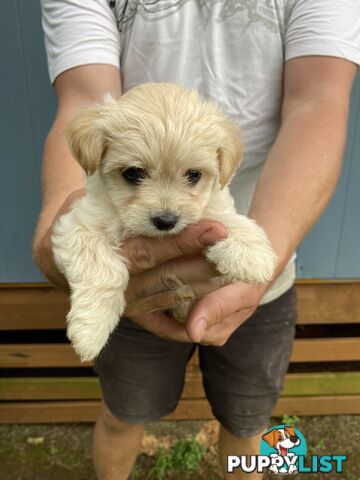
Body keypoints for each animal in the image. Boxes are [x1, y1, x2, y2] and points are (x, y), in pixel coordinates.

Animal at [52, 82, 278, 360]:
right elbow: (101, 269)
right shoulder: (81, 225)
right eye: (133, 173)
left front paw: (250, 255)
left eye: (194, 175)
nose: (166, 220)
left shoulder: (211, 205)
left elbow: (224, 217)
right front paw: (91, 330)